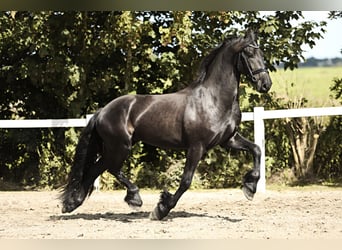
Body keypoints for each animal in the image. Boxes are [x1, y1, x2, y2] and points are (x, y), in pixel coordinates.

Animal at [59, 30, 272, 220]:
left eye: (261, 53)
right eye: (249, 53)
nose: (265, 84)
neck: (214, 99)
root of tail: (102, 111)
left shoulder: (228, 139)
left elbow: (256, 149)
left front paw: (250, 186)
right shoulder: (197, 146)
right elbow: (186, 181)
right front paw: (161, 209)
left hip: (115, 146)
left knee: (97, 169)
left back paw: (72, 204)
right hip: (120, 146)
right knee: (111, 168)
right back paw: (134, 198)